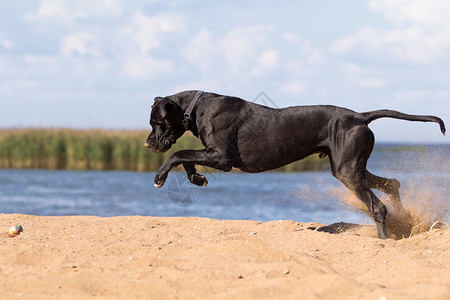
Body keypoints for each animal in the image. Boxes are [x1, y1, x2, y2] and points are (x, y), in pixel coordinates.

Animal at [145, 90, 446, 238]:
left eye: (157, 122)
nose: (148, 144)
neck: (197, 108)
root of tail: (360, 116)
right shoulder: (211, 154)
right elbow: (186, 159)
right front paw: (197, 179)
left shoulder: (221, 156)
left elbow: (178, 154)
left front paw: (159, 177)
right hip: (349, 168)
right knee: (392, 184)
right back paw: (406, 223)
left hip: (349, 172)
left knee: (378, 207)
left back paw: (385, 240)